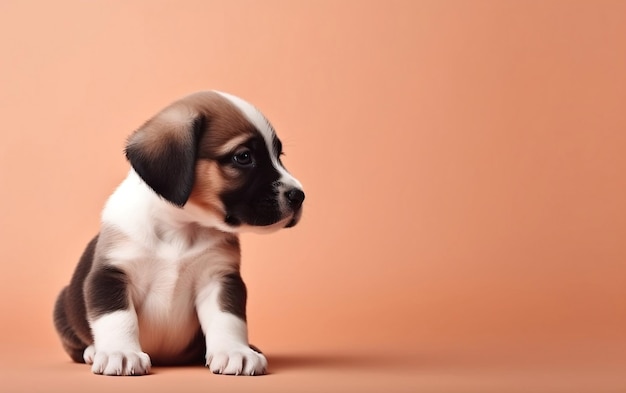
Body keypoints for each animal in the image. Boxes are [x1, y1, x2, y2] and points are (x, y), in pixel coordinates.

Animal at [53, 90, 304, 376]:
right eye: (243, 157)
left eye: (279, 154)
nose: (299, 196)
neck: (180, 229)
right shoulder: (111, 275)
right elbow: (117, 318)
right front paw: (121, 352)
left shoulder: (219, 278)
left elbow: (228, 319)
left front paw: (234, 351)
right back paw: (93, 350)